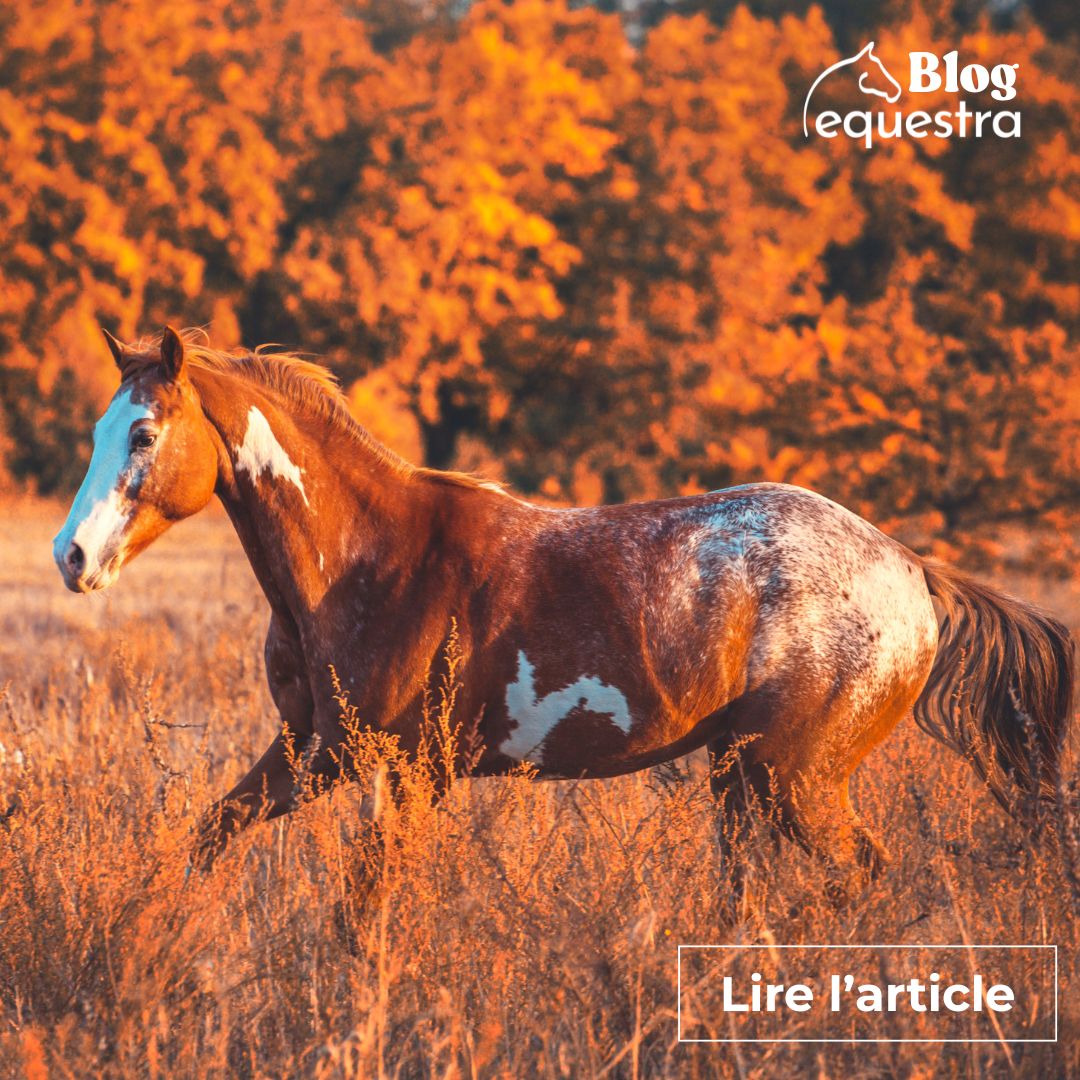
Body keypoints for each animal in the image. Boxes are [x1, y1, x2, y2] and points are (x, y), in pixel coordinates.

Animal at [53, 327, 1074, 899]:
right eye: (100, 430)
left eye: (143, 433)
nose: (73, 556)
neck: (371, 562)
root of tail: (911, 572)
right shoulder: (312, 754)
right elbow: (204, 842)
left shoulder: (404, 772)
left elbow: (370, 909)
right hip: (742, 779)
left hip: (795, 779)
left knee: (859, 878)